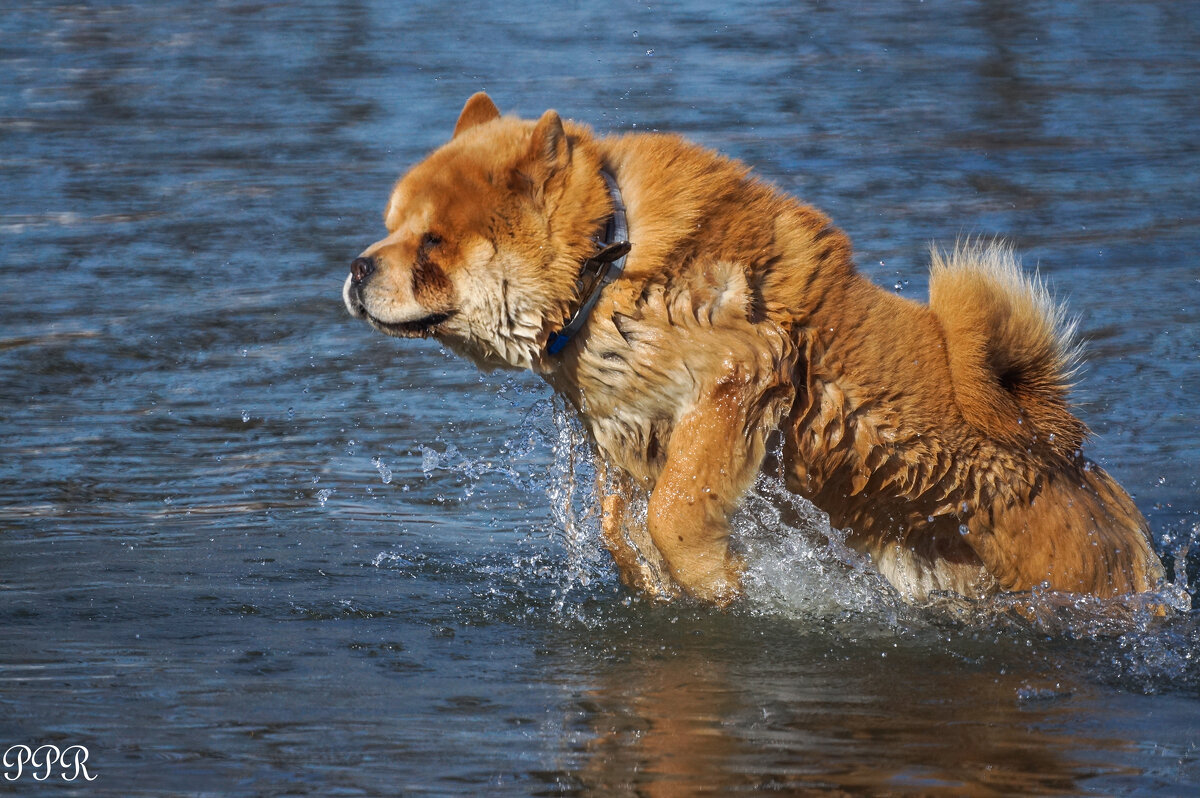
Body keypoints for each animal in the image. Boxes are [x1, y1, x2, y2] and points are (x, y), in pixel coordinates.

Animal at [343, 93, 1166, 604]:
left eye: (433, 243)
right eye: (389, 227)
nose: (356, 266)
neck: (609, 263)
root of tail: (1058, 445)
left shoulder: (740, 377)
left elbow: (676, 512)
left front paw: (718, 582)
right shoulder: (625, 428)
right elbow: (619, 527)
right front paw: (656, 581)